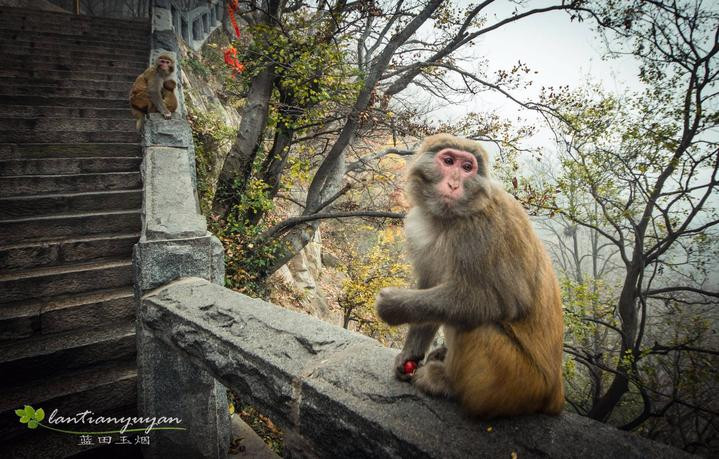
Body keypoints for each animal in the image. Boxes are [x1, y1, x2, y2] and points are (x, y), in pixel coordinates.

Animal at [374, 134, 564, 420]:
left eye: (467, 168)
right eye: (448, 161)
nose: (454, 184)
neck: (450, 219)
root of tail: (554, 393)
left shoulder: (482, 231)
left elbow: (502, 301)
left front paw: (394, 305)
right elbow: (430, 284)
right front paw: (409, 354)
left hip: (516, 381)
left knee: (473, 321)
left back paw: (447, 383)